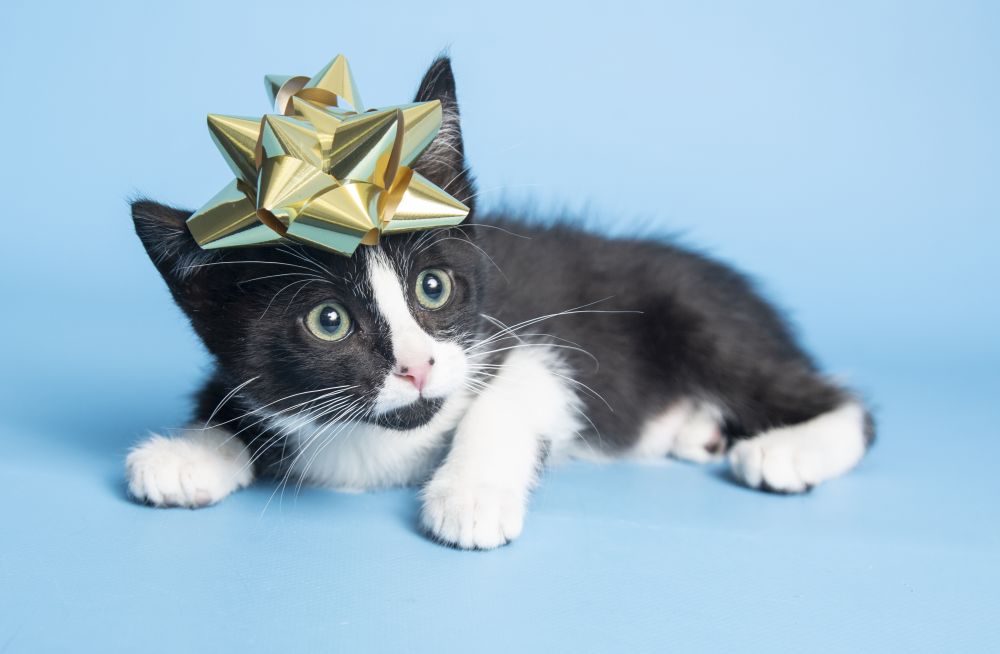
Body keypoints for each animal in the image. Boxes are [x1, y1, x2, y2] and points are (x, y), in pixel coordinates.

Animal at [127, 56, 876, 552]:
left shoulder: (538, 336)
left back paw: (786, 451)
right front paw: (187, 453)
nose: (418, 367)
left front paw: (470, 495)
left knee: (840, 403)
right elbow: (233, 400)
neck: (381, 442)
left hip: (700, 315)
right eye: (328, 321)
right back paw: (696, 430)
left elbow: (509, 393)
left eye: (432, 287)